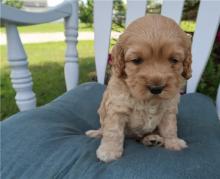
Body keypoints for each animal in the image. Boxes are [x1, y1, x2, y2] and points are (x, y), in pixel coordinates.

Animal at [85, 15, 192, 162]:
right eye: (136, 60)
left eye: (174, 60)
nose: (156, 88)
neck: (148, 100)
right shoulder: (117, 109)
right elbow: (113, 131)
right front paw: (109, 151)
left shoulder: (169, 109)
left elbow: (170, 127)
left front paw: (173, 142)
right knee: (103, 129)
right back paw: (97, 133)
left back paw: (152, 139)